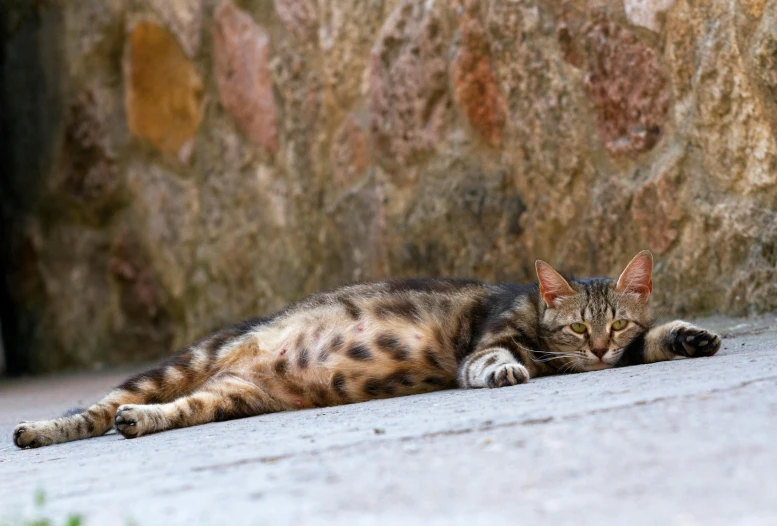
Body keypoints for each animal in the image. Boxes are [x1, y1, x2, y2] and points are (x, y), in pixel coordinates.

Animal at [12, 252, 720, 450]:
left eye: (616, 324)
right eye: (577, 329)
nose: (597, 351)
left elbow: (656, 340)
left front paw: (692, 336)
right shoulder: (486, 344)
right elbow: (494, 361)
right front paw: (510, 373)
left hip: (224, 397)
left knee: (170, 410)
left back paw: (141, 422)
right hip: (180, 365)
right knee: (95, 409)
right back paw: (42, 429)